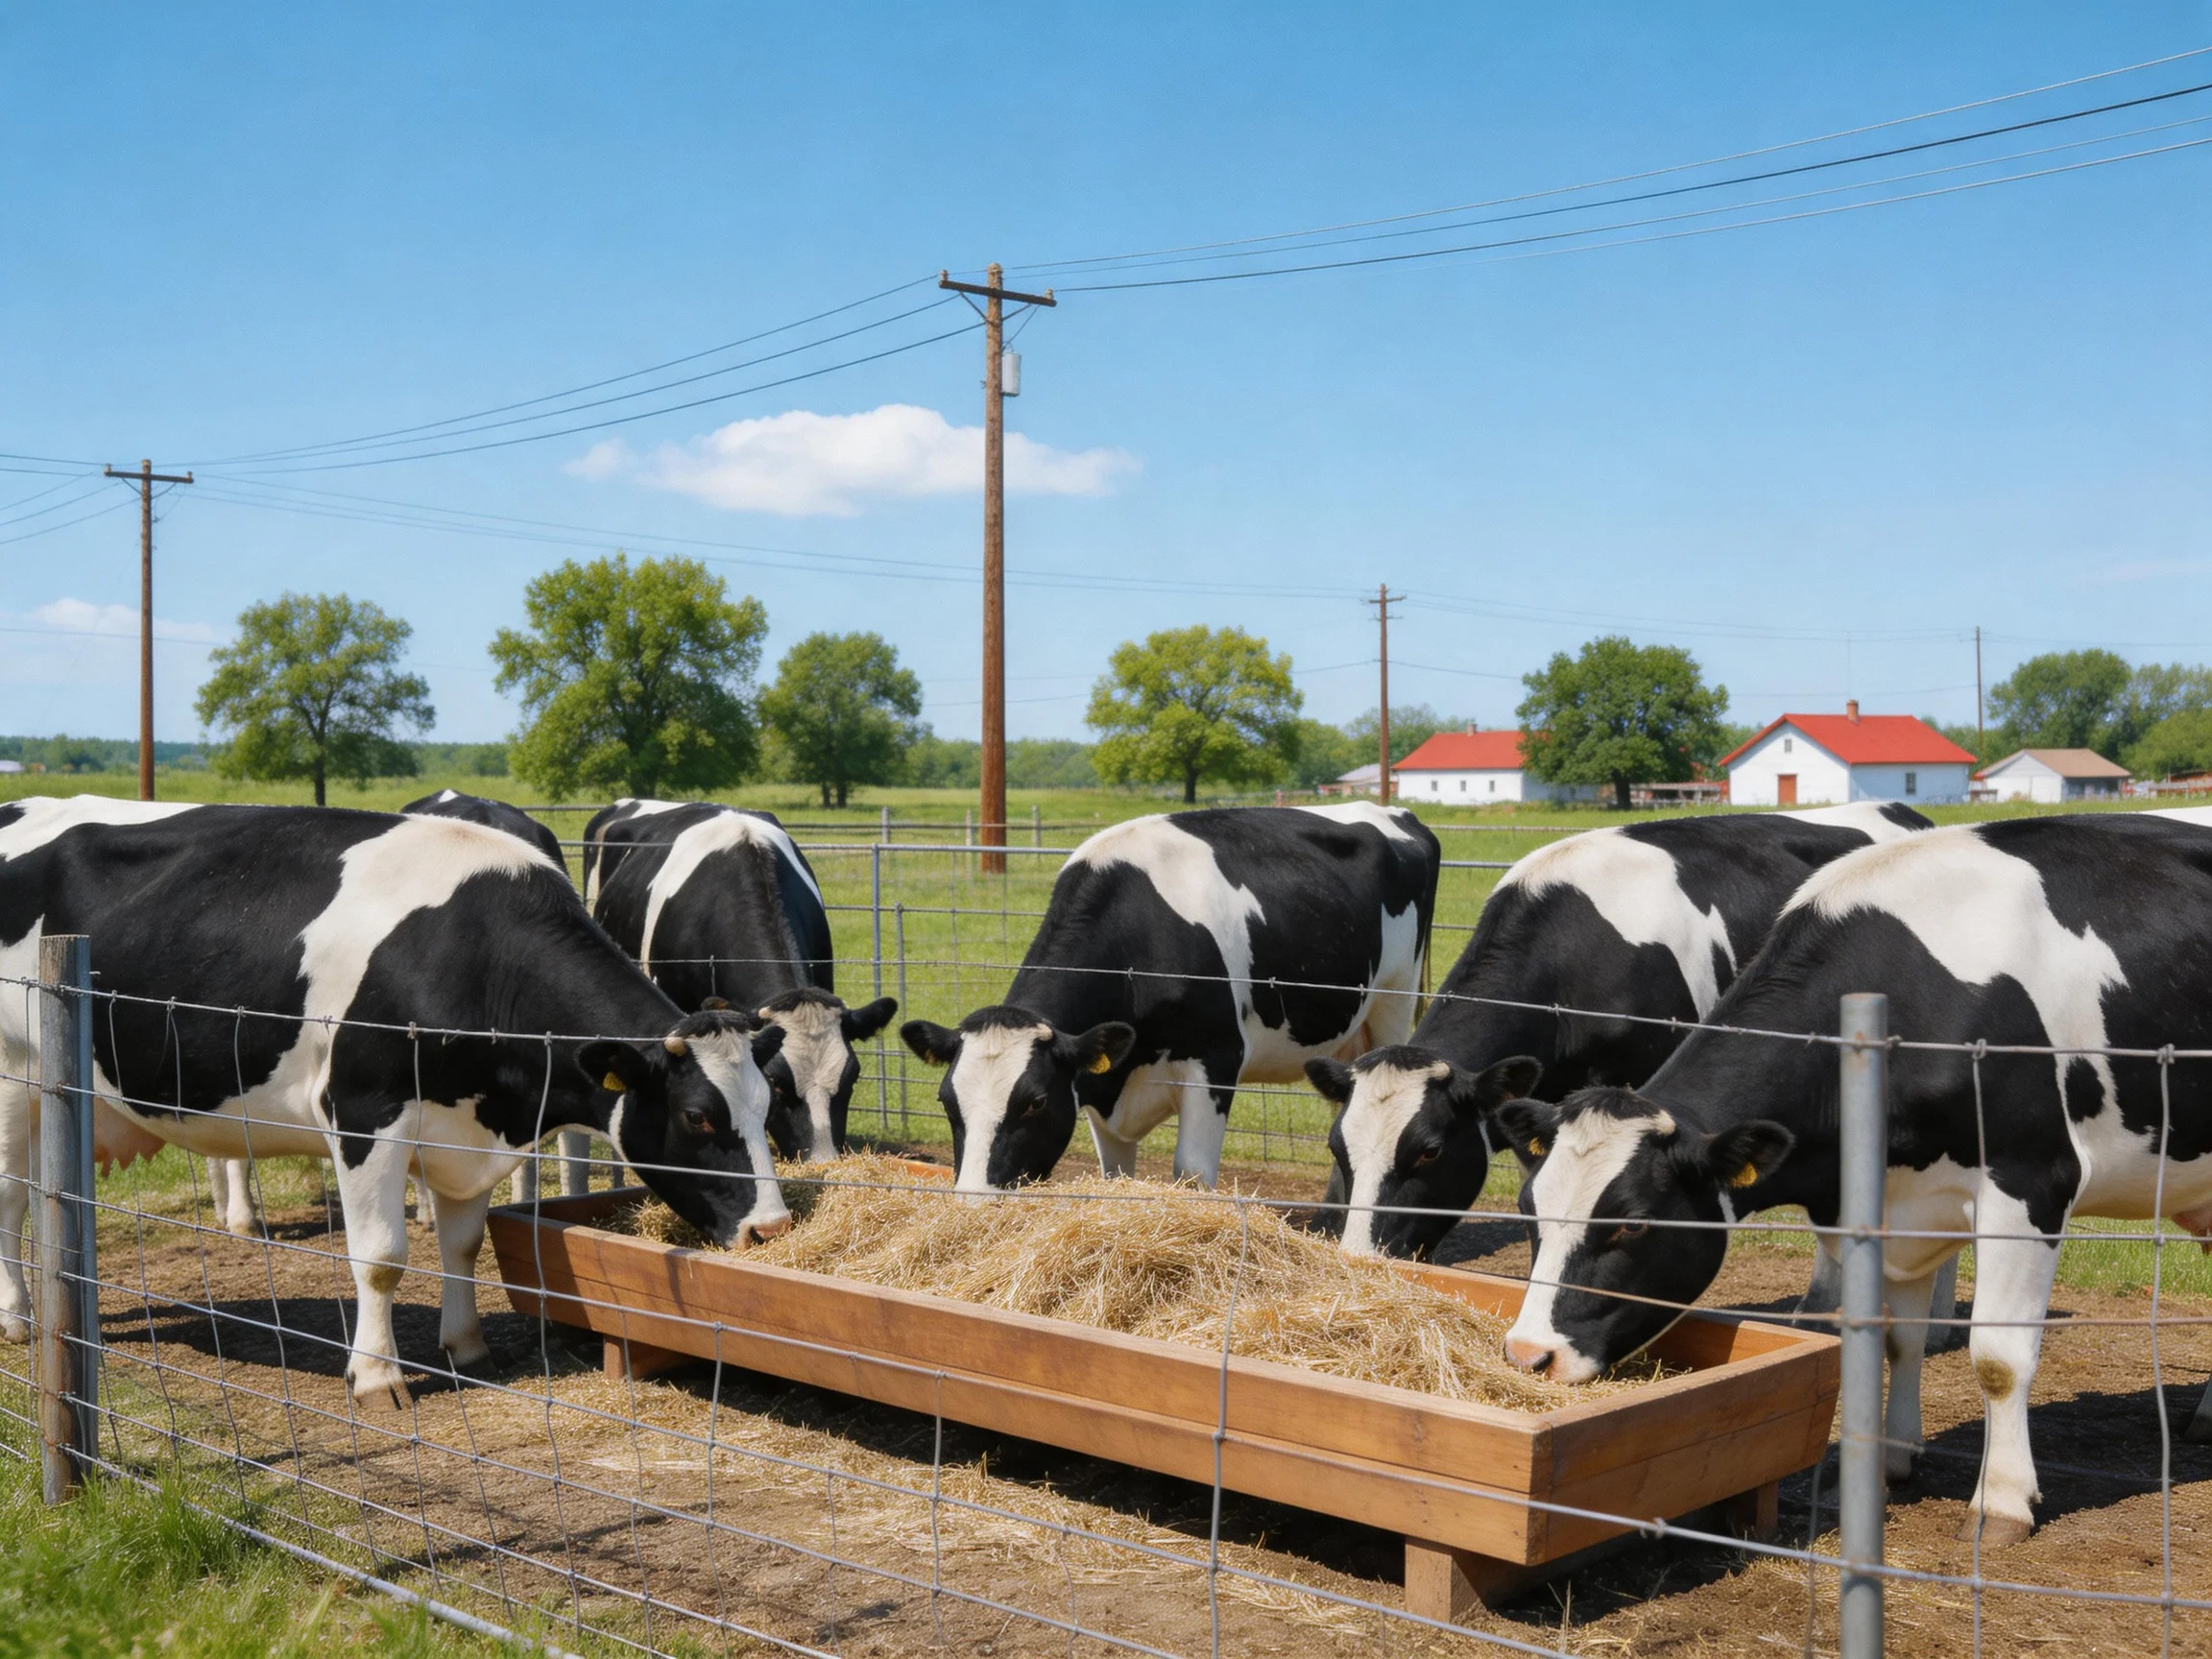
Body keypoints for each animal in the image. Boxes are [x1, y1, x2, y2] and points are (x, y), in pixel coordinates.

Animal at [901, 803, 1440, 1193]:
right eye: (946, 1100)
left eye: (1034, 1102)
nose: (972, 1201)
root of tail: (1395, 813)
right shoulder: (1102, 1087)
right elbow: (1115, 1174)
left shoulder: (1217, 1060)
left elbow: (1192, 1171)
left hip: (1393, 1001)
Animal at [1491, 811, 2212, 1544]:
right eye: (1528, 1210)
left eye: (1633, 1223)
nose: (1528, 1355)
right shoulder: (1894, 1203)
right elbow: (1899, 1338)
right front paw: (1890, 1462)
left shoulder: (2032, 1182)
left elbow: (1999, 1359)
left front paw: (2001, 1503)